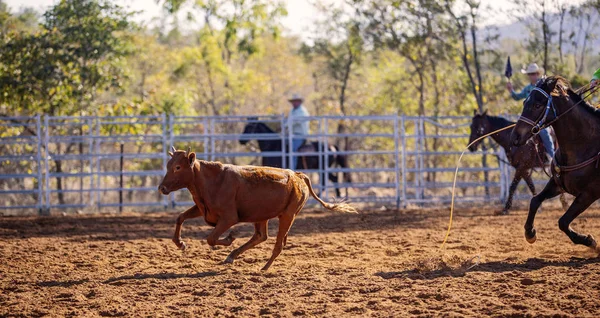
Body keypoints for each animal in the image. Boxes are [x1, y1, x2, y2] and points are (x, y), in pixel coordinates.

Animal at [159, 148, 356, 270]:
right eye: (168, 166)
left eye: (178, 167)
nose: (162, 188)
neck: (212, 180)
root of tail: (298, 175)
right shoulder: (202, 209)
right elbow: (180, 217)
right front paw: (180, 243)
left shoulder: (229, 218)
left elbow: (211, 238)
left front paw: (229, 238)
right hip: (262, 216)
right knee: (261, 236)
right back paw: (232, 256)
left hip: (288, 215)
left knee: (277, 244)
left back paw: (264, 267)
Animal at [510, 77, 600, 251]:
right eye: (525, 102)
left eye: (537, 105)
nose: (515, 137)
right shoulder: (558, 184)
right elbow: (535, 200)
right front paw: (530, 233)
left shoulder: (589, 193)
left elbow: (563, 222)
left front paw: (590, 241)